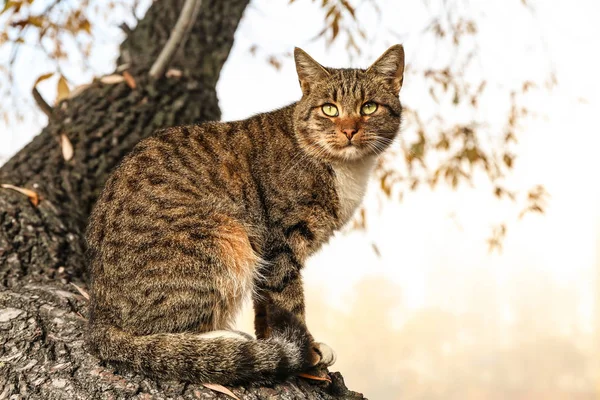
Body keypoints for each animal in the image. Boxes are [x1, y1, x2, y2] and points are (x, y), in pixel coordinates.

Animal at [85, 43, 404, 384]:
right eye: (329, 109)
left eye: (369, 107)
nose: (349, 130)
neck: (345, 168)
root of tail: (99, 315)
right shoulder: (281, 241)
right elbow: (289, 299)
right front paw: (308, 354)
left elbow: (267, 305)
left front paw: (276, 341)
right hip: (224, 236)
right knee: (157, 332)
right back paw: (223, 340)